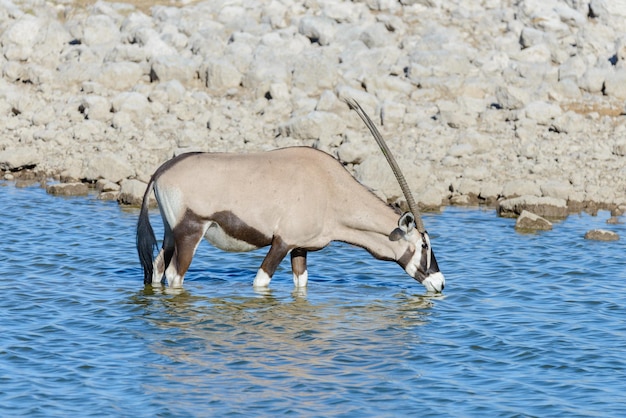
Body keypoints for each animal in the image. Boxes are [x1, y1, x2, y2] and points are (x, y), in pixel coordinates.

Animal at [136, 99, 444, 292]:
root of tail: (160, 172)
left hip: (171, 233)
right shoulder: (281, 243)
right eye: (424, 245)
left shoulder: (300, 247)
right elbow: (261, 281)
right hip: (191, 232)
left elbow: (302, 285)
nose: (440, 283)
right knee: (174, 275)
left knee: (158, 268)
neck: (331, 190)